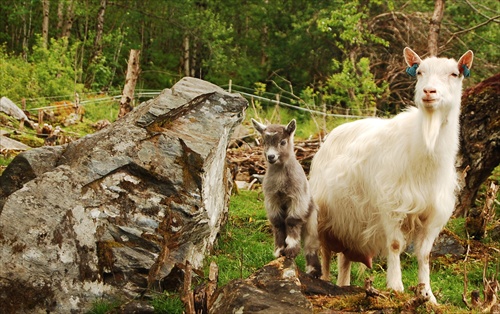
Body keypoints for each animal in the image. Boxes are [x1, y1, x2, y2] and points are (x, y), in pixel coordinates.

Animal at [310, 46, 474, 302]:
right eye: (420, 72)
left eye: (454, 74)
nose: (429, 91)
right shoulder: (392, 204)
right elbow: (395, 245)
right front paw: (396, 286)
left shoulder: (433, 214)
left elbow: (425, 254)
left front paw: (428, 294)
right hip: (324, 218)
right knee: (326, 253)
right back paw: (325, 280)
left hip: (350, 225)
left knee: (344, 259)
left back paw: (343, 285)